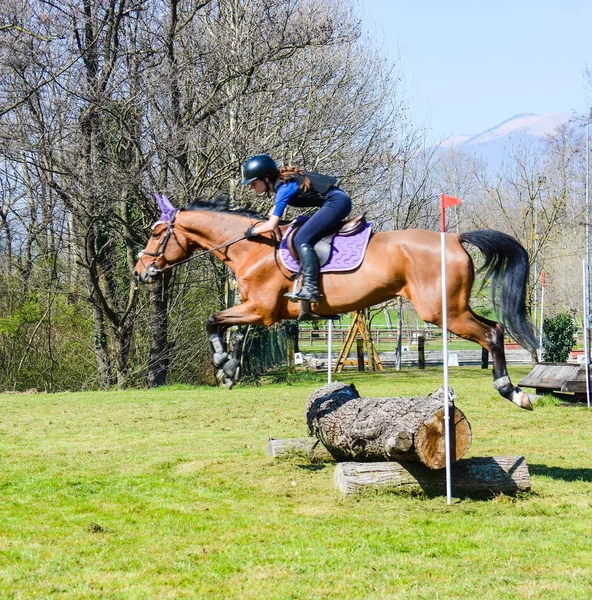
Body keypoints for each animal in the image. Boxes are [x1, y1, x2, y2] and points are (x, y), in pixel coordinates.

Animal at [135, 195, 540, 410]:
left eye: (157, 234)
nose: (140, 272)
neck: (251, 247)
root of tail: (455, 238)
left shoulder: (261, 311)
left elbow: (212, 319)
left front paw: (224, 366)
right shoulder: (257, 311)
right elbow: (218, 322)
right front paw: (227, 369)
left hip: (442, 311)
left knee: (492, 334)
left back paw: (512, 391)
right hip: (450, 309)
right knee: (495, 329)